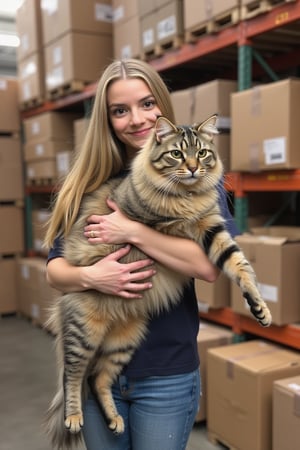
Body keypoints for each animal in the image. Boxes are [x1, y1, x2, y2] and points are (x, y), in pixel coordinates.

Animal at [44, 115, 272, 446]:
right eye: (176, 154)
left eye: (202, 153)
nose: (193, 168)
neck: (189, 196)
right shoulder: (147, 219)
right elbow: (151, 226)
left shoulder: (211, 228)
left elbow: (239, 265)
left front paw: (259, 308)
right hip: (85, 330)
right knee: (72, 373)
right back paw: (74, 417)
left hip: (125, 340)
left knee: (98, 378)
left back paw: (114, 420)